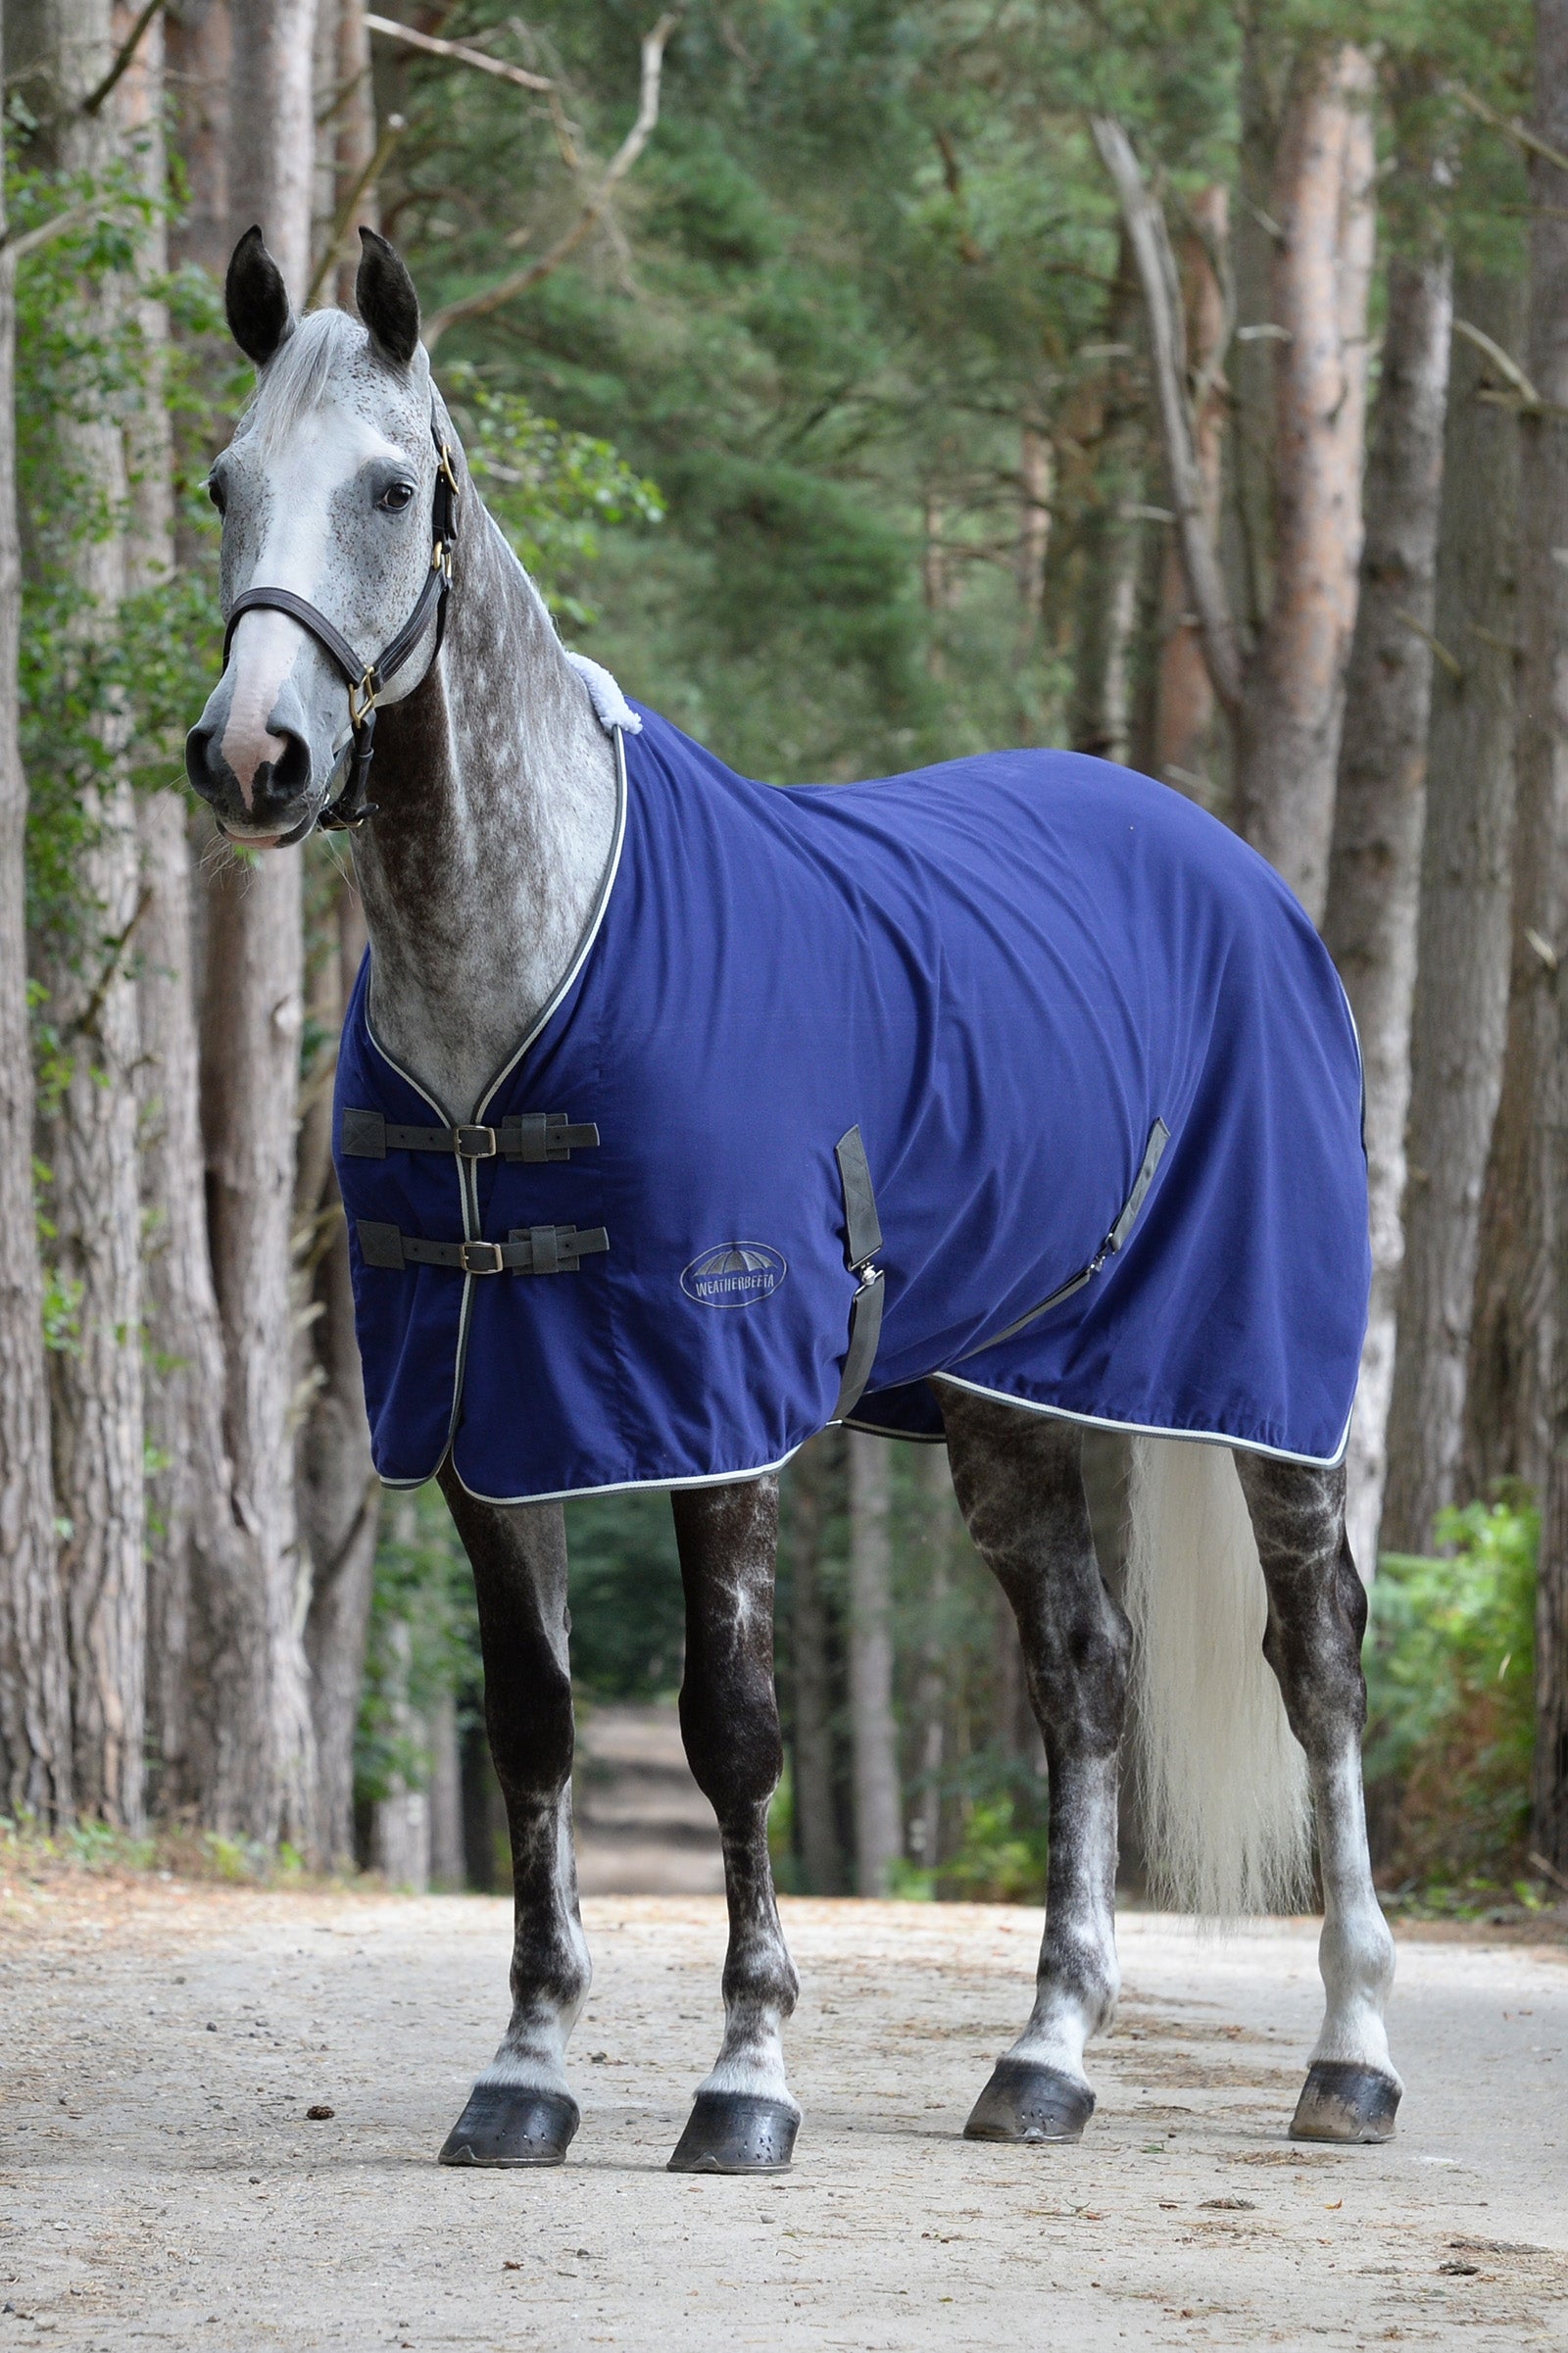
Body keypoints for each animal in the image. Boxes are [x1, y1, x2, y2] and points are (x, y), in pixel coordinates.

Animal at [185, 225, 1400, 2176]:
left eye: (387, 486)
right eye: (223, 482)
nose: (252, 760)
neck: (519, 974)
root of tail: (1241, 877)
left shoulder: (716, 1405)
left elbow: (732, 1727)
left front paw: (746, 2074)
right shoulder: (485, 1415)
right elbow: (534, 1727)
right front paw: (528, 2068)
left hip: (1266, 1387)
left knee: (1322, 1659)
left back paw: (1350, 2056)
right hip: (1008, 1404)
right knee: (1086, 1673)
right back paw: (1044, 2058)